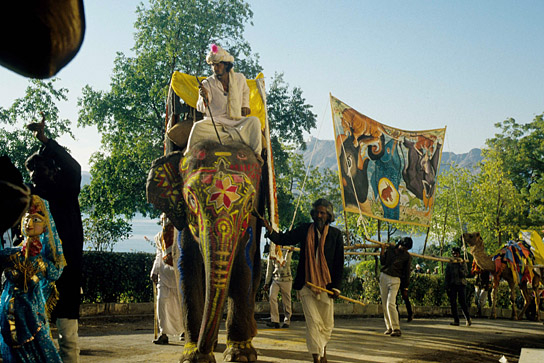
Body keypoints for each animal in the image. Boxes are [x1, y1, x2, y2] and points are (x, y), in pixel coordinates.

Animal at [144, 141, 264, 362]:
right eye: (191, 199)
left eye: (250, 203)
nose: (202, 348)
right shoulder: (182, 224)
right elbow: (185, 267)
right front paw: (193, 356)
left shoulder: (250, 225)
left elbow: (243, 266)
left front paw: (239, 355)